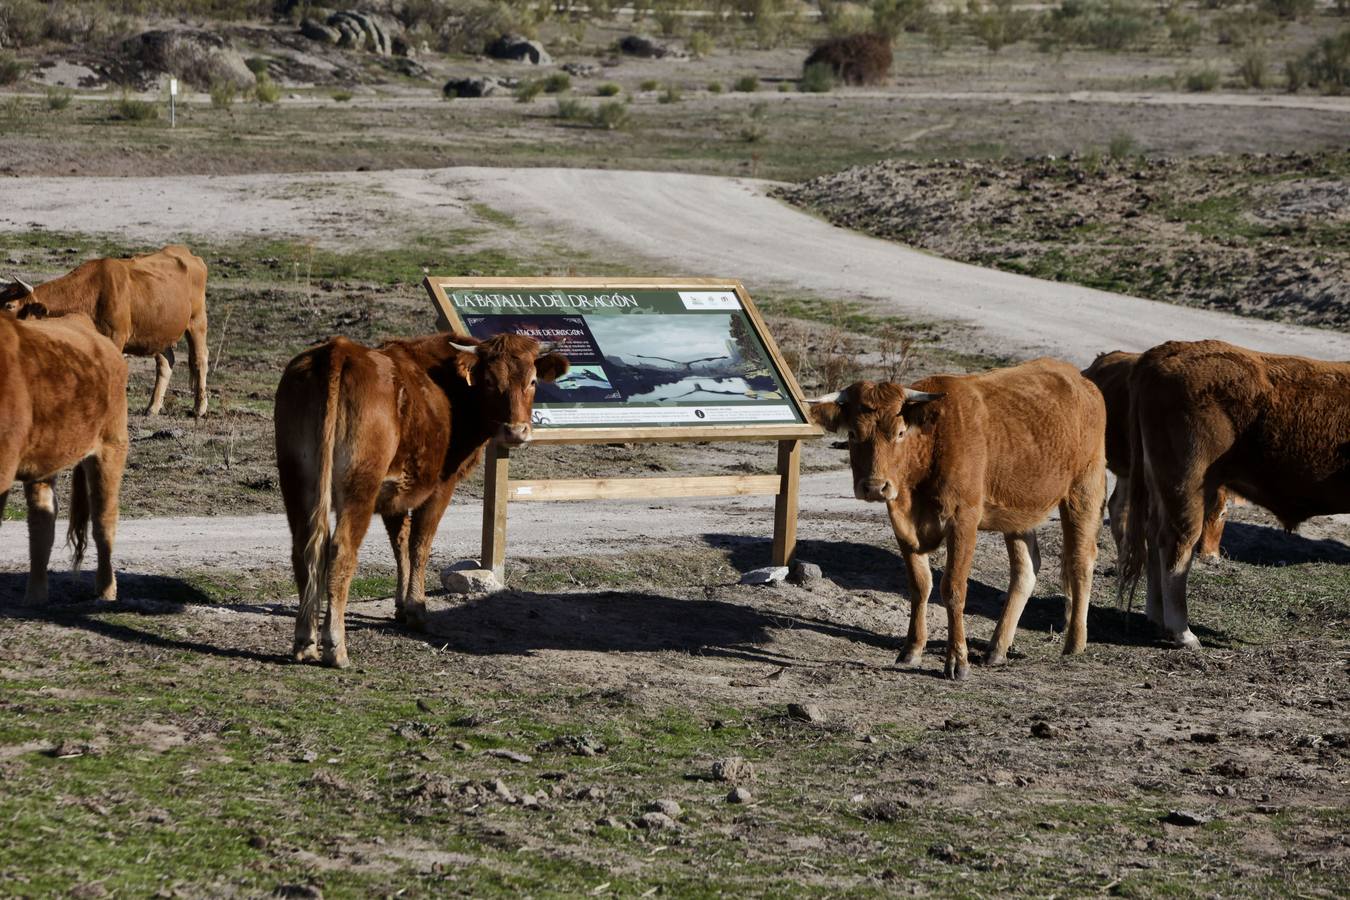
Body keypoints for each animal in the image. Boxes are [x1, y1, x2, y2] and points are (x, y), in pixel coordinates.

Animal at [1, 245, 209, 417]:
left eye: (10, 305)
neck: (92, 292)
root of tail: (190, 255)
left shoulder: (115, 337)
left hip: (197, 321)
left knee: (199, 359)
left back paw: (199, 408)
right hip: (158, 333)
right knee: (166, 362)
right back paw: (152, 408)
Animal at [1, 305, 129, 603]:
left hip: (111, 445)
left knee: (104, 520)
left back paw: (106, 591)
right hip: (45, 460)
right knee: (42, 522)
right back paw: (35, 596)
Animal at [275, 332, 569, 668]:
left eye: (532, 381)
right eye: (490, 381)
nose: (516, 431)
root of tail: (338, 350)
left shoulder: (394, 492)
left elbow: (400, 544)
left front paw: (401, 604)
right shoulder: (441, 486)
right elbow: (420, 544)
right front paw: (416, 608)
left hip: (296, 480)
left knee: (303, 549)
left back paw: (304, 641)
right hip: (359, 486)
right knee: (340, 551)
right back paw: (336, 646)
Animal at [810, 358, 1107, 680]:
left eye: (900, 433)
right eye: (852, 434)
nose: (875, 487)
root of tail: (1078, 378)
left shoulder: (963, 520)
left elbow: (952, 588)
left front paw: (957, 660)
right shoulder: (901, 523)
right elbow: (920, 585)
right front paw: (912, 649)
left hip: (1084, 488)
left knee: (1080, 560)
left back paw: (1075, 642)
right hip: (1019, 510)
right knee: (1026, 569)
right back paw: (997, 648)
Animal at [1119, 340, 1350, 649]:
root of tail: (1171, 350)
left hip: (1160, 484)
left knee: (1155, 539)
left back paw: (1158, 619)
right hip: (1187, 483)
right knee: (1177, 546)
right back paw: (1183, 633)